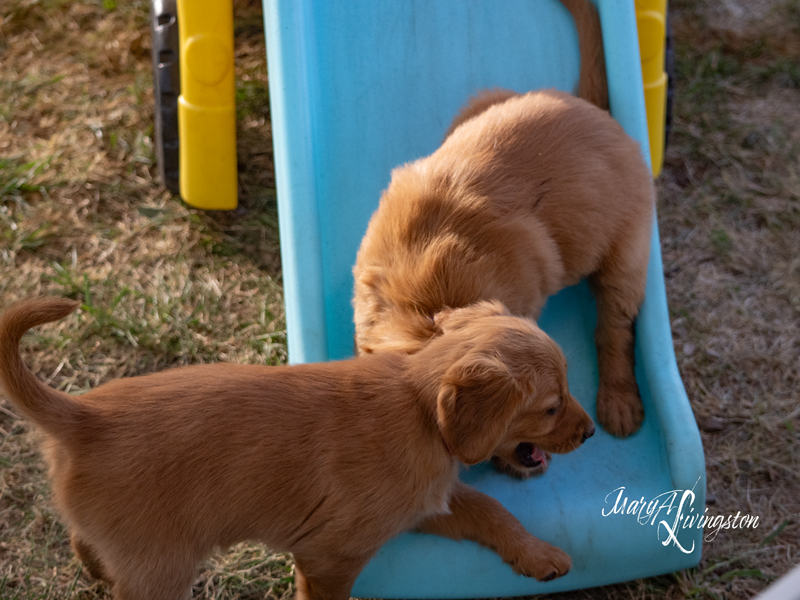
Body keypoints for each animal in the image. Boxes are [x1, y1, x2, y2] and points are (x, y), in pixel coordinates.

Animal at [0, 298, 592, 600]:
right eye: (551, 406)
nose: (589, 434)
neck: (420, 408)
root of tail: (85, 417)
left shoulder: (426, 505)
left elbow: (491, 509)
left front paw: (539, 555)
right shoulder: (331, 555)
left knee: (83, 540)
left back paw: (96, 569)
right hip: (162, 567)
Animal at [354, 0, 652, 478]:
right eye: (548, 408)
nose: (587, 433)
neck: (424, 304)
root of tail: (590, 107)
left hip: (627, 250)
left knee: (615, 327)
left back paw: (619, 400)